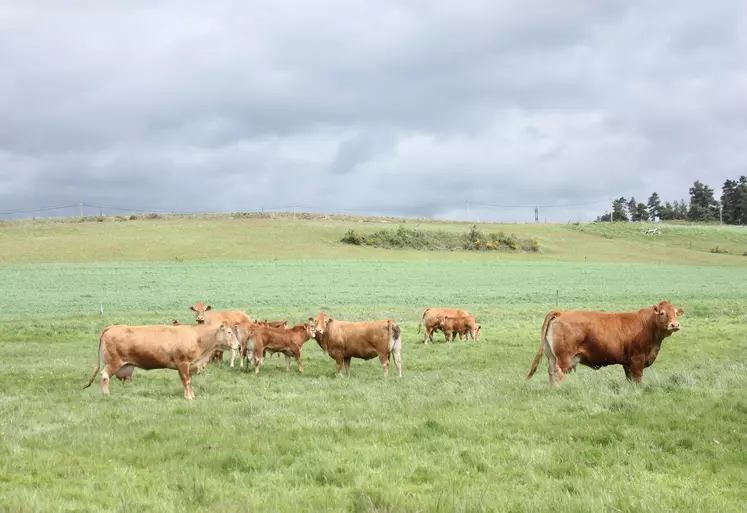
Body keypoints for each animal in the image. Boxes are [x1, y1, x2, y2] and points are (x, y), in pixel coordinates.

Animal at [82, 320, 240, 400]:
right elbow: (186, 381)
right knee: (104, 376)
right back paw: (106, 394)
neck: (197, 337)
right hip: (113, 363)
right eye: (229, 332)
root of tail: (111, 327)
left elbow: (189, 381)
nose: (238, 345)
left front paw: (191, 395)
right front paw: (188, 397)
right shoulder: (183, 364)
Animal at [524, 298, 684, 386]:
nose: (674, 325)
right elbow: (638, 379)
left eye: (676, 313)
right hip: (563, 357)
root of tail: (562, 312)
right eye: (662, 313)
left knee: (551, 372)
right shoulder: (637, 359)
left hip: (551, 356)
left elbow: (630, 379)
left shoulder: (628, 363)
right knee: (558, 373)